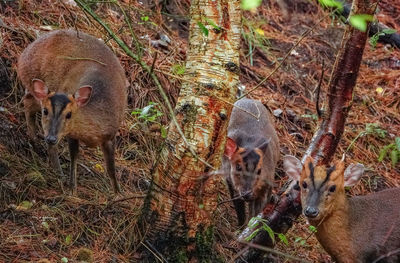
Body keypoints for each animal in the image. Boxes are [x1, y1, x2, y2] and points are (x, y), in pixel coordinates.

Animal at [18, 30, 127, 196]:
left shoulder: (111, 134)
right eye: (45, 111)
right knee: (28, 102)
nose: (50, 138)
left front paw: (118, 193)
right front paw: (72, 188)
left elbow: (111, 168)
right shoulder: (71, 134)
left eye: (69, 114)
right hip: (31, 78)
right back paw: (55, 169)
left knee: (28, 102)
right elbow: (74, 156)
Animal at [223, 99, 280, 227]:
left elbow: (256, 214)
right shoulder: (231, 182)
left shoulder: (267, 183)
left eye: (259, 170)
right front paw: (240, 227)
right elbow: (240, 209)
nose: (247, 193)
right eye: (238, 167)